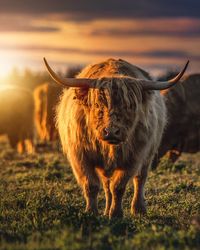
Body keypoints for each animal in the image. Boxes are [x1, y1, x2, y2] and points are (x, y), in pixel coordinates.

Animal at [44, 57, 189, 217]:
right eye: (97, 105)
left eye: (130, 106)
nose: (112, 132)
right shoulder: (80, 156)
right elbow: (91, 185)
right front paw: (91, 212)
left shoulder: (133, 157)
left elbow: (119, 186)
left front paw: (116, 214)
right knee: (106, 185)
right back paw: (106, 210)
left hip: (148, 154)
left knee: (140, 179)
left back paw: (138, 209)